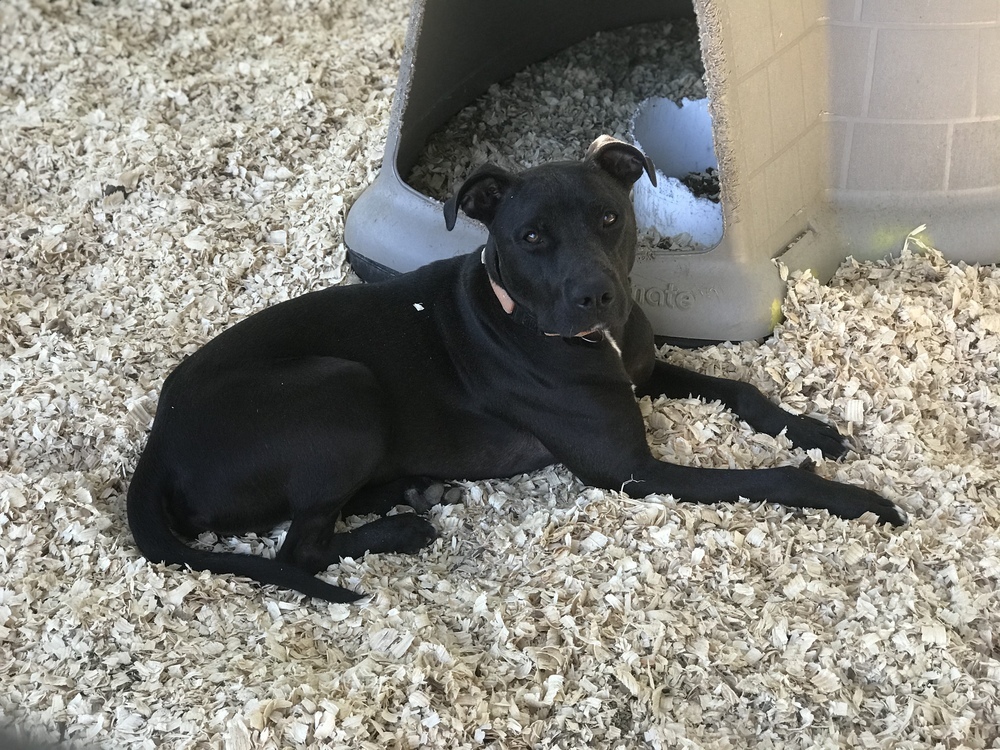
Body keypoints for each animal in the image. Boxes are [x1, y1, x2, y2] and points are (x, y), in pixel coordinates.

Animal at [127, 137, 908, 604]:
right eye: (531, 237)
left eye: (608, 219)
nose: (597, 296)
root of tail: (158, 444)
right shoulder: (632, 472)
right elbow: (772, 478)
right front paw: (855, 498)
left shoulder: (643, 370)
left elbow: (741, 389)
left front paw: (812, 430)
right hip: (343, 388)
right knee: (299, 553)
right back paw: (399, 529)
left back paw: (409, 491)